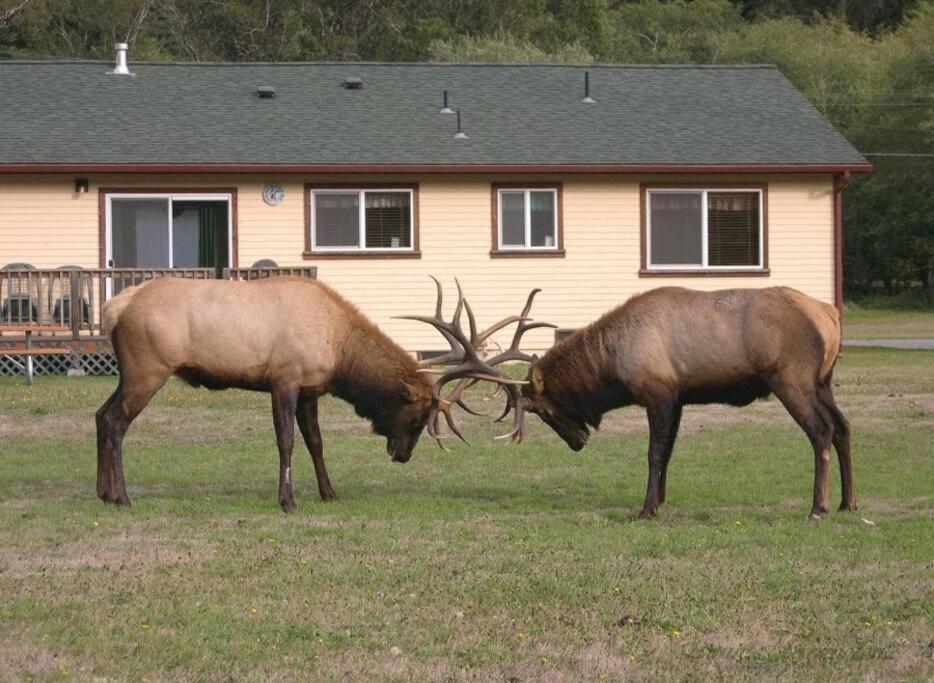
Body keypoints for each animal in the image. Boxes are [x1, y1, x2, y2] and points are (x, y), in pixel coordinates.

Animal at [95, 275, 544, 511]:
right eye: (417, 416)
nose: (402, 456)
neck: (339, 352)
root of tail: (113, 308)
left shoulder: (311, 390)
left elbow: (316, 442)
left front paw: (330, 493)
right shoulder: (284, 380)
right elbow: (287, 442)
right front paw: (287, 500)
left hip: (128, 373)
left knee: (100, 415)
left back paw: (103, 492)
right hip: (148, 368)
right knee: (116, 422)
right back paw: (122, 497)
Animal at [469, 286, 855, 520]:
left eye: (544, 410)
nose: (578, 442)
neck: (612, 366)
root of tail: (830, 316)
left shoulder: (658, 392)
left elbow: (654, 453)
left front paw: (646, 509)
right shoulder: (678, 397)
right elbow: (668, 452)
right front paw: (660, 500)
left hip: (792, 379)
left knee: (821, 430)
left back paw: (818, 506)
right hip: (823, 382)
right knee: (844, 427)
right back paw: (847, 502)